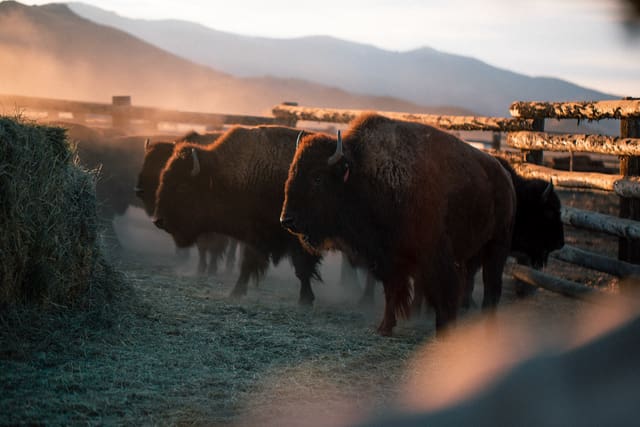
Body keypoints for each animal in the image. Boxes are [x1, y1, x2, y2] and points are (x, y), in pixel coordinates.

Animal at [153, 125, 322, 304]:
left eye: (182, 187)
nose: (158, 220)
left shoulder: (297, 238)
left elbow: (302, 268)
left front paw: (305, 300)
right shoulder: (254, 237)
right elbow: (247, 264)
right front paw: (236, 292)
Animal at [281, 114, 517, 335]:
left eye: (317, 178)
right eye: (292, 171)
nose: (287, 220)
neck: (363, 176)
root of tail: (504, 176)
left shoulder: (433, 258)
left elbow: (441, 295)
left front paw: (443, 331)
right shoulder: (388, 259)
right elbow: (392, 292)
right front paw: (385, 327)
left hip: (497, 247)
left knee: (492, 289)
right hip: (471, 253)